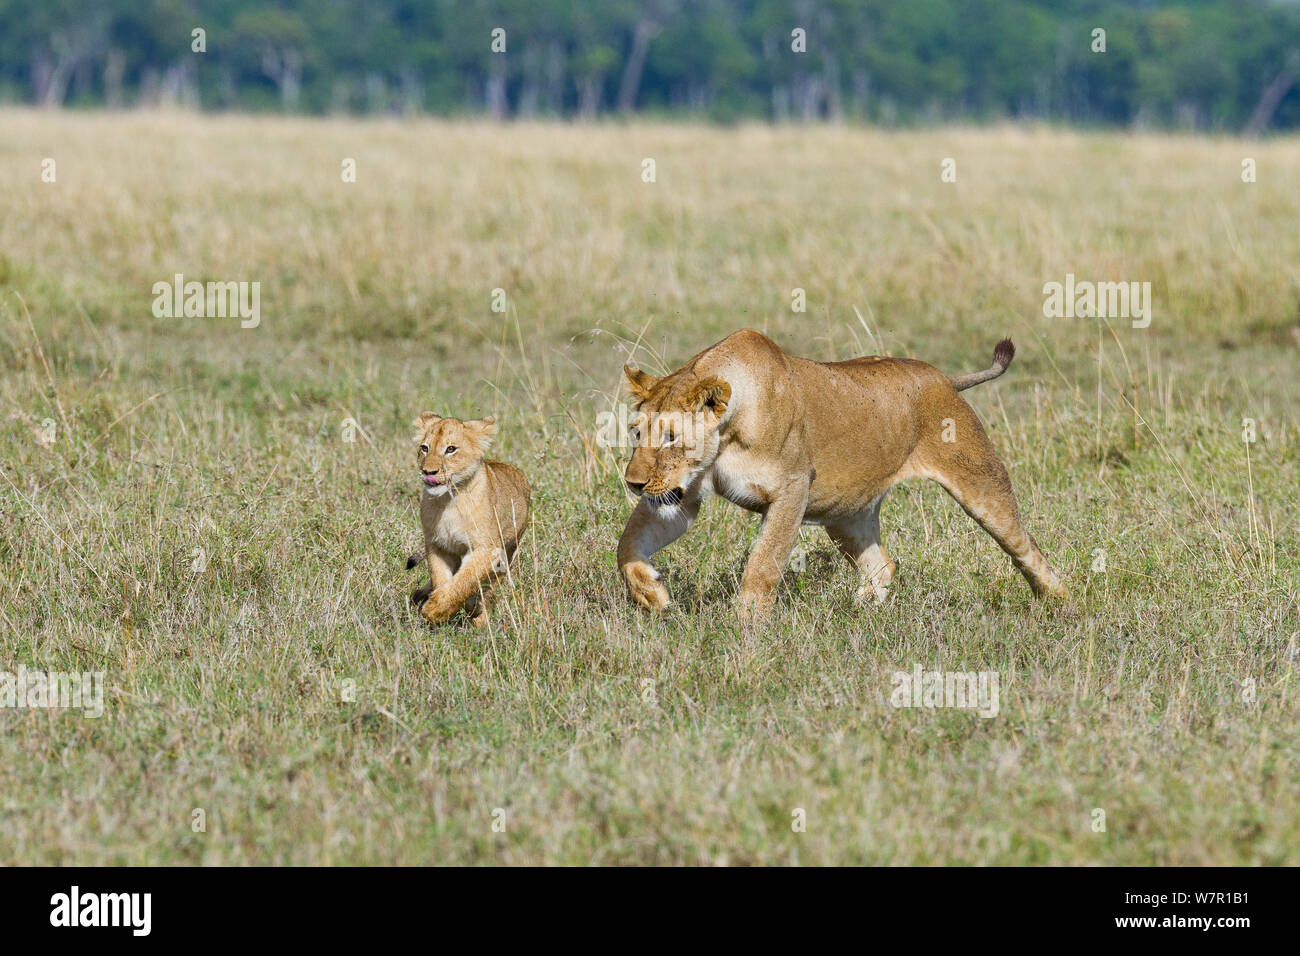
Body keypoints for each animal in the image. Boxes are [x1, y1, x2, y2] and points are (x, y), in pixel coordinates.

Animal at [406, 413, 530, 627]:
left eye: (450, 449)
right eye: (424, 448)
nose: (428, 472)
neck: (448, 501)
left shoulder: (487, 550)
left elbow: (465, 580)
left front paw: (435, 609)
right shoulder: (438, 546)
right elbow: (441, 579)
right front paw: (437, 608)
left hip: (508, 554)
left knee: (491, 586)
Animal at [616, 329, 1066, 620]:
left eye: (671, 437)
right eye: (636, 433)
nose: (633, 483)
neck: (727, 434)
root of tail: (941, 377)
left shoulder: (793, 489)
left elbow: (763, 564)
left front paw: (746, 627)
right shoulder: (681, 495)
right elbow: (628, 545)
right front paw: (651, 595)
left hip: (980, 482)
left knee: (1027, 550)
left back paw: (1061, 604)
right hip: (846, 514)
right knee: (883, 567)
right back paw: (861, 611)